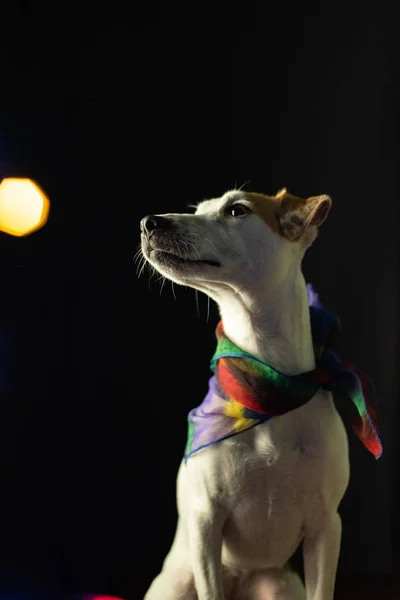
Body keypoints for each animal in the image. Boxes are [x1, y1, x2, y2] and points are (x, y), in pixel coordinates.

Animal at [141, 189, 382, 600]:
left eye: (237, 210)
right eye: (199, 210)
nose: (148, 222)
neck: (267, 379)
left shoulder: (326, 528)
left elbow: (323, 589)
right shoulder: (206, 521)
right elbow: (210, 589)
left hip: (280, 584)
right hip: (176, 585)